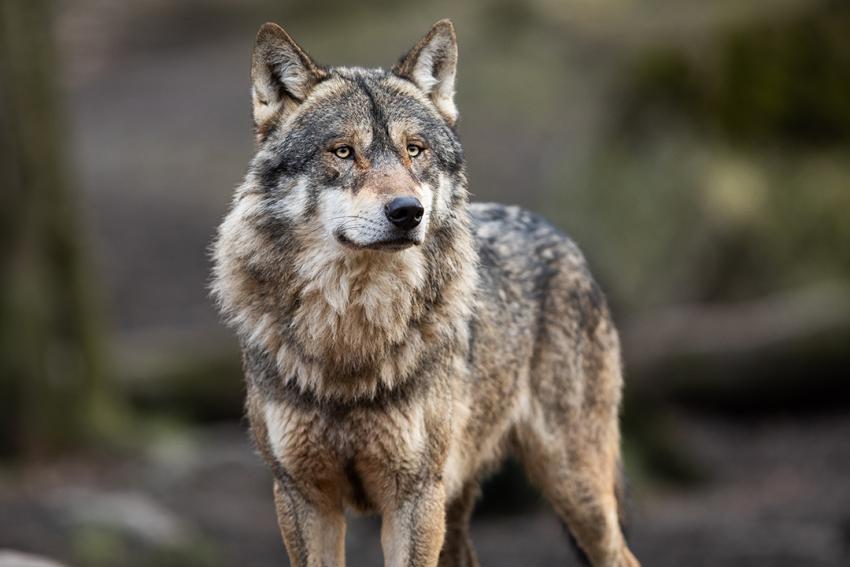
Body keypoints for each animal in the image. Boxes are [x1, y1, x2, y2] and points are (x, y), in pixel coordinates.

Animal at [211, 19, 639, 567]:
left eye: (414, 150)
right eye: (343, 151)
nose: (407, 211)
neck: (351, 336)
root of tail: (559, 235)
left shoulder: (413, 497)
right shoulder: (301, 495)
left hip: (572, 487)